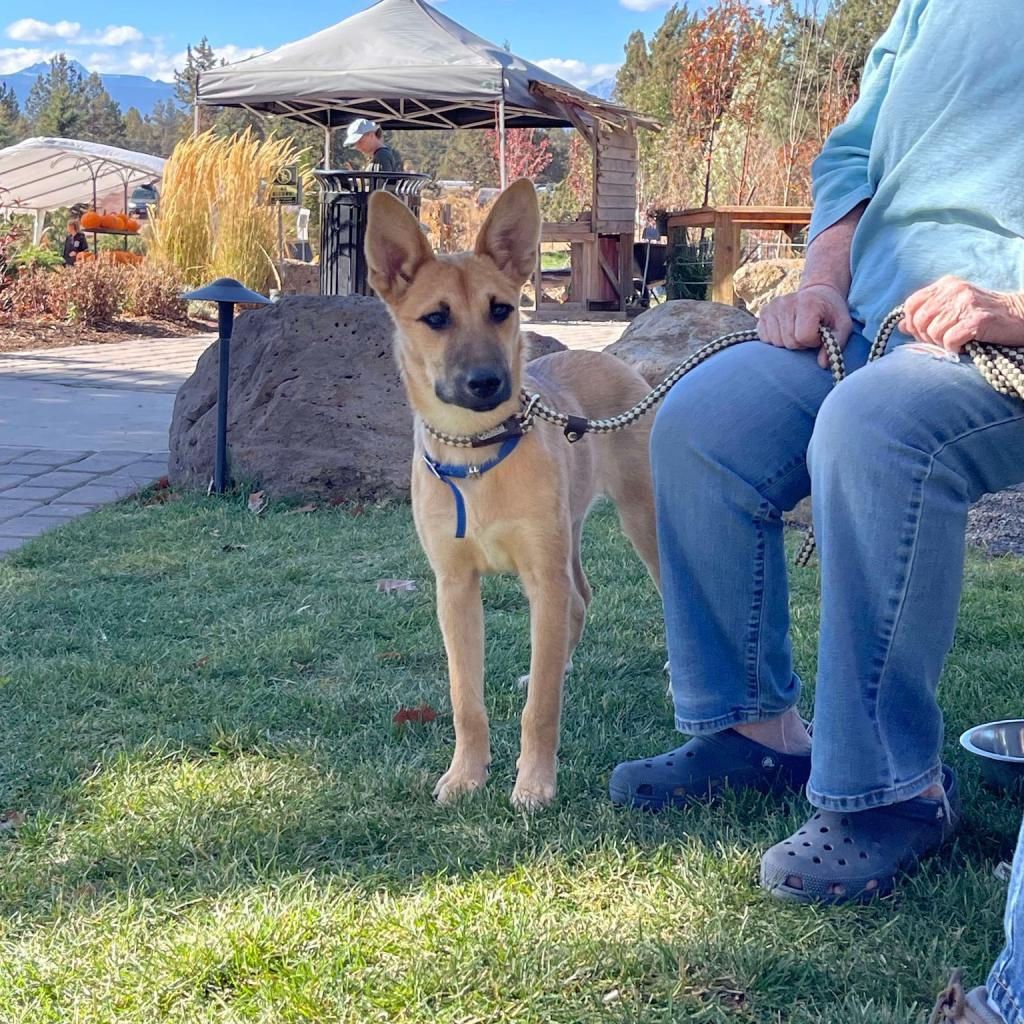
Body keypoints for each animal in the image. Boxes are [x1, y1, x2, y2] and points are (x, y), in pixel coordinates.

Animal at [368, 182, 663, 806]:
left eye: (501, 309)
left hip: (641, 520)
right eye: (435, 318)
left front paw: (535, 782)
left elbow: (541, 708)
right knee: (581, 598)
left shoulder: (540, 579)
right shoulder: (455, 588)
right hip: (568, 533)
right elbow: (465, 698)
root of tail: (609, 356)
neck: (477, 457)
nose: (487, 382)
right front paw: (465, 775)